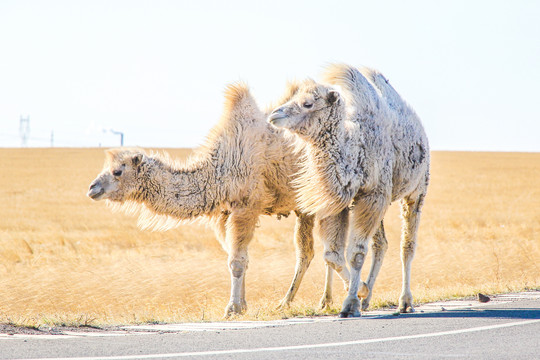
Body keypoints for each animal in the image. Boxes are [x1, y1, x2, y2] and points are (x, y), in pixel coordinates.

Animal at [268, 64, 430, 318]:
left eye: (308, 103)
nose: (275, 114)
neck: (355, 149)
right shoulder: (344, 202)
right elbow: (333, 255)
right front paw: (360, 291)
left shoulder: (373, 196)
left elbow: (356, 253)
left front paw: (350, 303)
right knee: (381, 244)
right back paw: (368, 298)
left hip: (417, 189)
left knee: (407, 246)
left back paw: (405, 302)